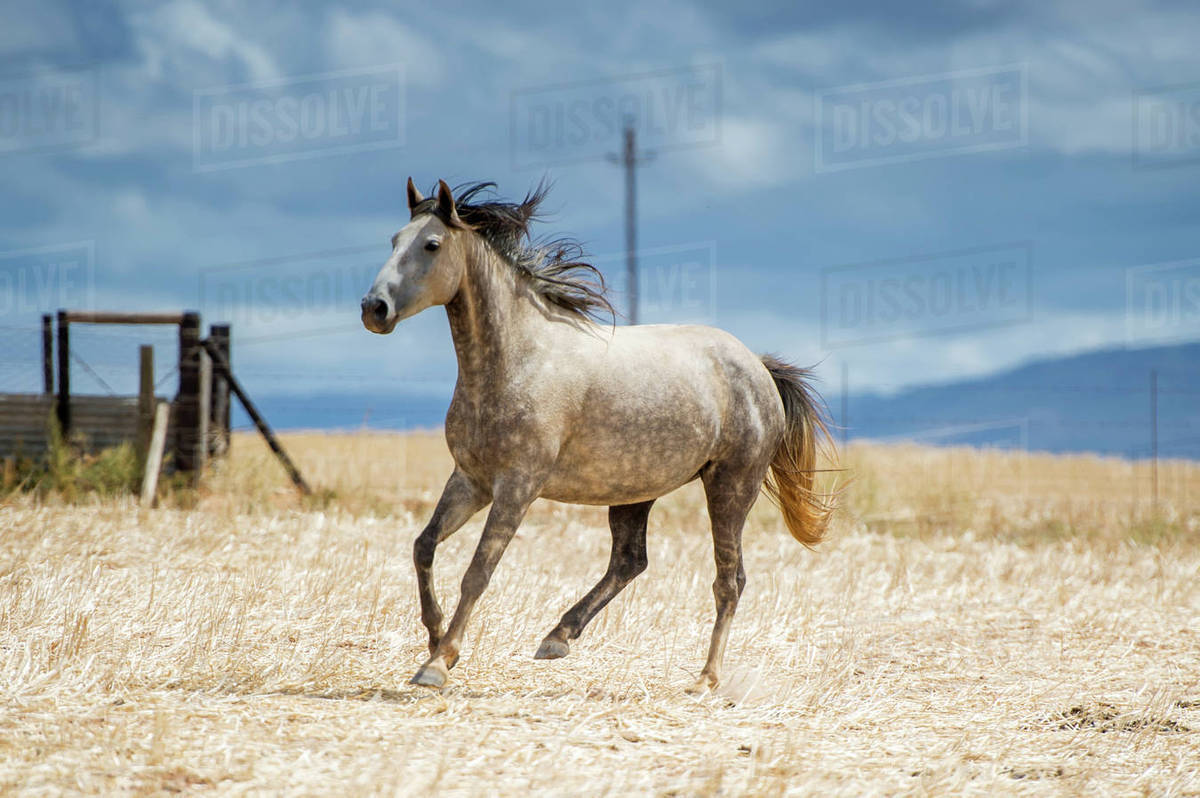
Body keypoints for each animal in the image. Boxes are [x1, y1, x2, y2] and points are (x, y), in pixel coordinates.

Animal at [361, 179, 836, 692]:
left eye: (431, 244)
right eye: (393, 240)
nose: (374, 309)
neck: (517, 361)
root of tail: (758, 367)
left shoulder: (517, 486)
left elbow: (478, 571)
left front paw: (438, 663)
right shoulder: (471, 480)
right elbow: (424, 546)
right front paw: (433, 638)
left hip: (730, 486)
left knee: (729, 581)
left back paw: (706, 678)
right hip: (634, 491)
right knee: (630, 561)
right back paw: (557, 637)